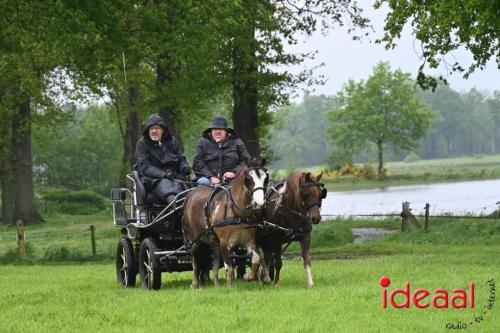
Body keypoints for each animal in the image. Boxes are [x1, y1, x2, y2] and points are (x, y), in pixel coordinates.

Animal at [183, 158, 270, 286]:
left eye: (265, 178)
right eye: (248, 178)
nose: (259, 203)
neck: (238, 212)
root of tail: (190, 194)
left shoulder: (249, 241)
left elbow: (256, 258)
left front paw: (249, 276)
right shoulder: (224, 243)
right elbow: (229, 268)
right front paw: (229, 287)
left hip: (214, 241)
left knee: (214, 263)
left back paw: (216, 285)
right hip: (193, 240)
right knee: (195, 260)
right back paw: (194, 283)